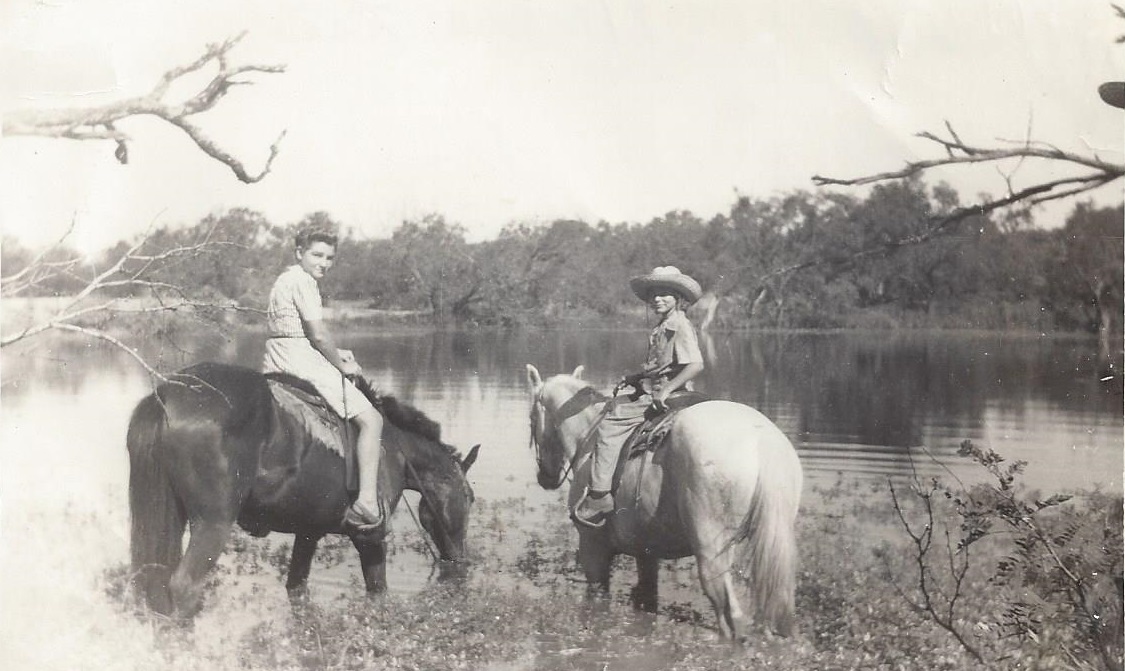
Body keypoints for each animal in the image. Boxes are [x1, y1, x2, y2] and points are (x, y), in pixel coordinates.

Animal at [127, 362, 479, 616]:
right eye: (470, 498)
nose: (460, 563)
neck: (393, 447)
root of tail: (165, 397)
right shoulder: (371, 538)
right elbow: (378, 591)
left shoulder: (309, 531)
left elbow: (296, 587)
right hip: (212, 524)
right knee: (184, 587)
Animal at [524, 364, 801, 634]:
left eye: (531, 419)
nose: (545, 478)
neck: (588, 437)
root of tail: (761, 440)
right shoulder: (645, 552)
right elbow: (647, 598)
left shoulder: (593, 549)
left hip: (712, 553)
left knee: (731, 616)